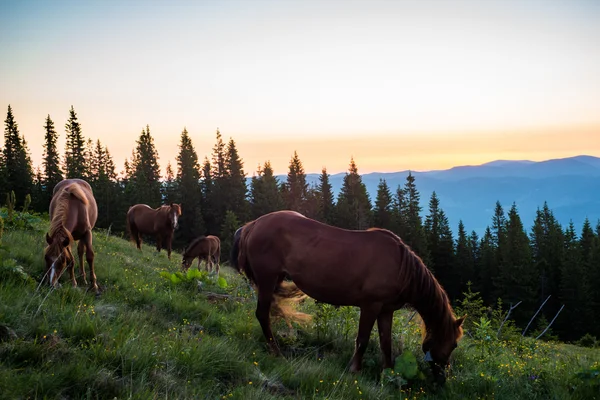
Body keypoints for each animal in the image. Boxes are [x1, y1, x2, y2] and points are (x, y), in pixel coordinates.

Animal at [232, 209, 466, 384]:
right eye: (453, 345)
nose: (443, 379)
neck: (400, 267)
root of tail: (253, 224)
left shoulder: (386, 310)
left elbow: (386, 342)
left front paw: (388, 372)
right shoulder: (370, 306)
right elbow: (362, 340)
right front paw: (355, 369)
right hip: (266, 280)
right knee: (262, 314)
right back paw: (276, 352)